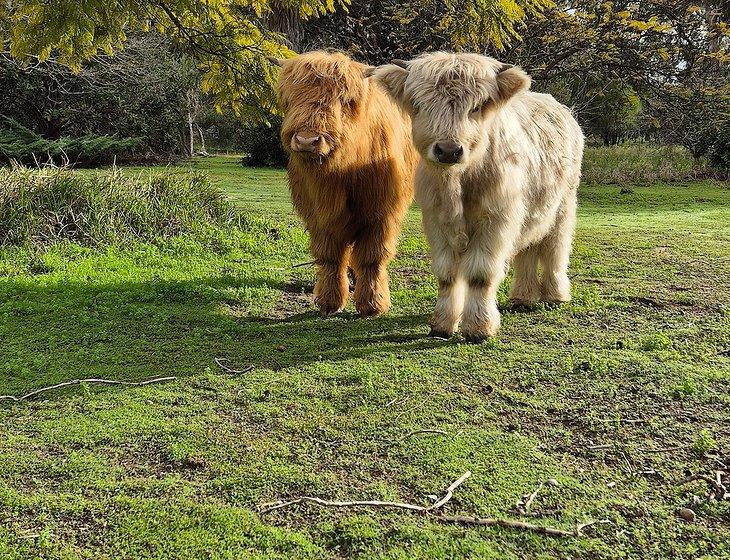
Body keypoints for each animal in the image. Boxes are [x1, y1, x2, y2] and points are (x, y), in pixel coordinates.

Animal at [268, 52, 416, 316]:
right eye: (290, 98)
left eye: (343, 100)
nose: (307, 140)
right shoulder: (318, 215)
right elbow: (331, 257)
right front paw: (330, 302)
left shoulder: (382, 213)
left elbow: (372, 257)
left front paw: (372, 305)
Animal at [372, 53, 584, 342]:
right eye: (421, 105)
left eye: (476, 107)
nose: (448, 150)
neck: (458, 183)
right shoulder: (436, 221)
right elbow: (447, 273)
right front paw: (442, 324)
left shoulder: (495, 221)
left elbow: (480, 274)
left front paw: (479, 328)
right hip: (531, 212)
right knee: (528, 251)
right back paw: (523, 298)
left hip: (563, 208)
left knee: (555, 251)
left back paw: (555, 296)